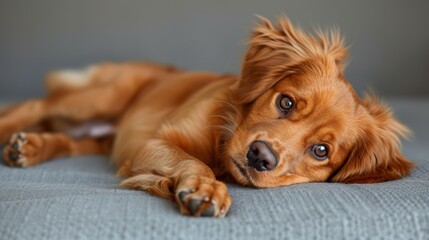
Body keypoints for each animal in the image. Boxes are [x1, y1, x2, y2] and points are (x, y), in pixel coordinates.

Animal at [1, 16, 412, 218]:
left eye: (321, 151)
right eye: (286, 103)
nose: (260, 156)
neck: (223, 143)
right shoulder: (154, 141)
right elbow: (194, 162)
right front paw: (204, 187)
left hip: (100, 135)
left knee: (70, 141)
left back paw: (31, 146)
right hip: (104, 96)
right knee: (33, 107)